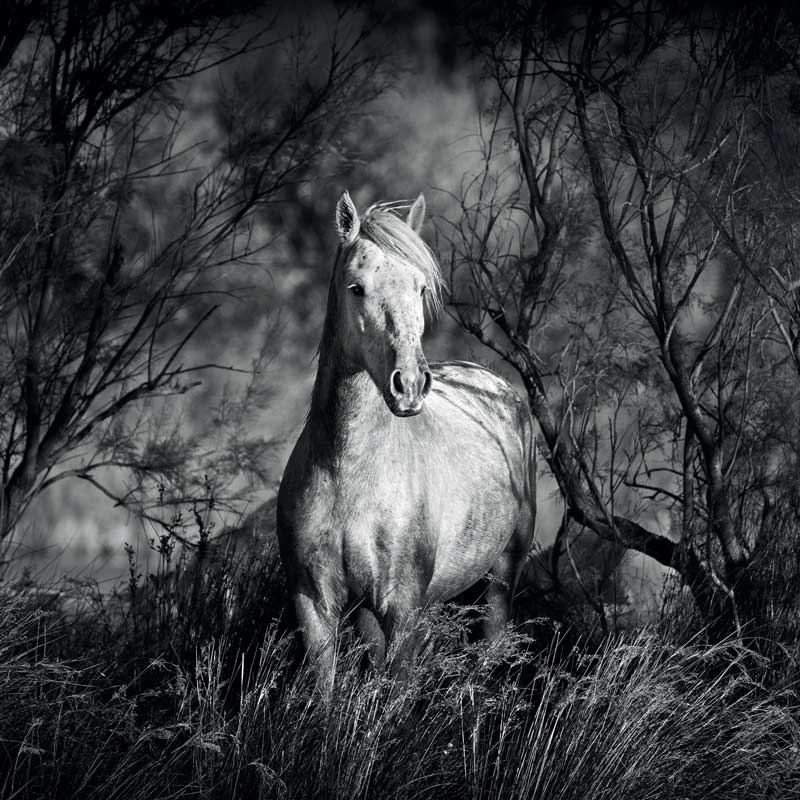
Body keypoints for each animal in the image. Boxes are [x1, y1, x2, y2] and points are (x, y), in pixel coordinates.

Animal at [276, 191, 536, 692]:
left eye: (419, 288)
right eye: (357, 287)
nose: (410, 385)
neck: (350, 473)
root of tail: (496, 384)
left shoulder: (403, 607)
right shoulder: (314, 604)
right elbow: (327, 695)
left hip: (502, 577)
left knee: (490, 650)